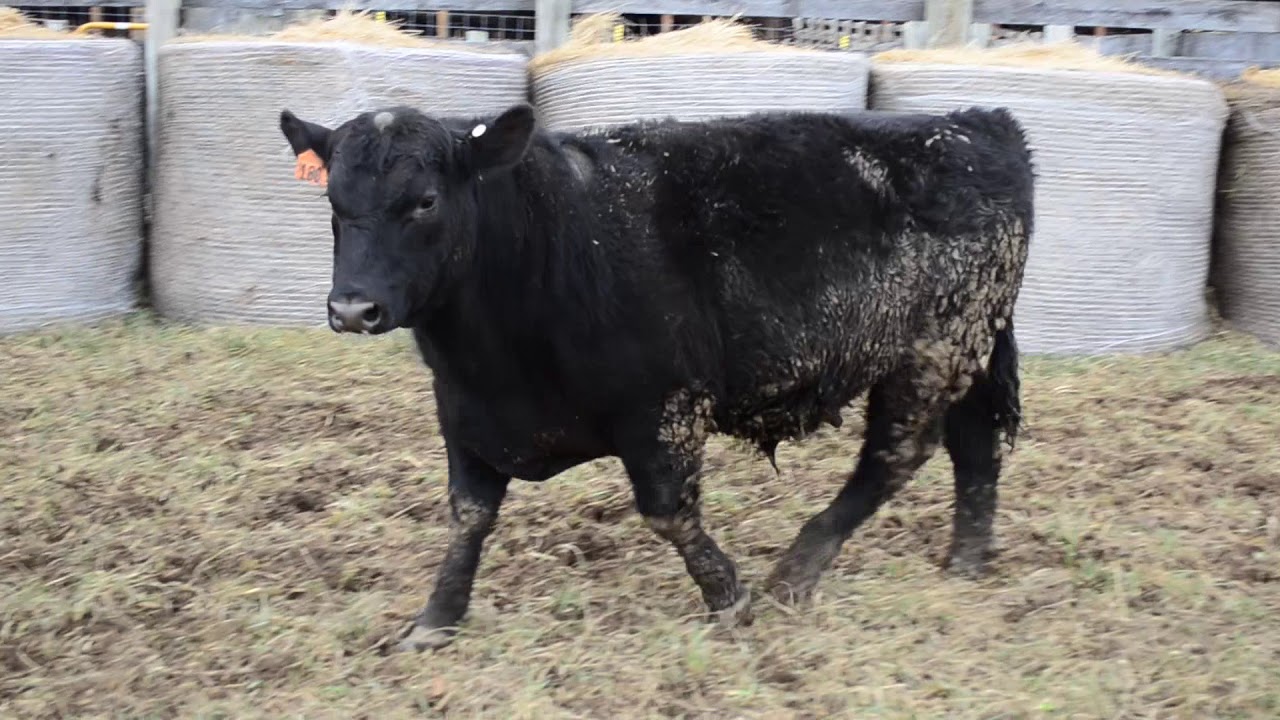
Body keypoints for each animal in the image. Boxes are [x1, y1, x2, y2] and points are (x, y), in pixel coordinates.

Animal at [278, 101, 1033, 652]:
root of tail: (977, 120)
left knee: (896, 454)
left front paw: (730, 600)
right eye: (334, 203)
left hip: (934, 350)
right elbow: (469, 517)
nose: (352, 308)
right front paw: (435, 619)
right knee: (975, 444)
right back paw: (966, 559)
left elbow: (670, 513)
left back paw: (797, 570)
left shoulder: (663, 409)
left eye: (426, 201)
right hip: (969, 345)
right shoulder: (464, 414)